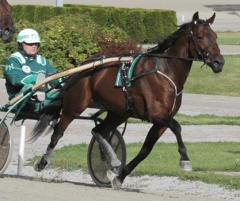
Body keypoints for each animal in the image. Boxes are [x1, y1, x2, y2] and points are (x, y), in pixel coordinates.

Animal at [32, 12, 225, 188]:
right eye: (200, 37)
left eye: (215, 37)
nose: (219, 62)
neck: (166, 71)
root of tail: (83, 65)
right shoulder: (157, 115)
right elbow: (177, 127)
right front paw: (185, 159)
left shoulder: (160, 122)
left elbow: (145, 150)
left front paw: (120, 176)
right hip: (75, 105)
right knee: (58, 132)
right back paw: (42, 162)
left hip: (119, 112)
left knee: (99, 131)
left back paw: (114, 162)